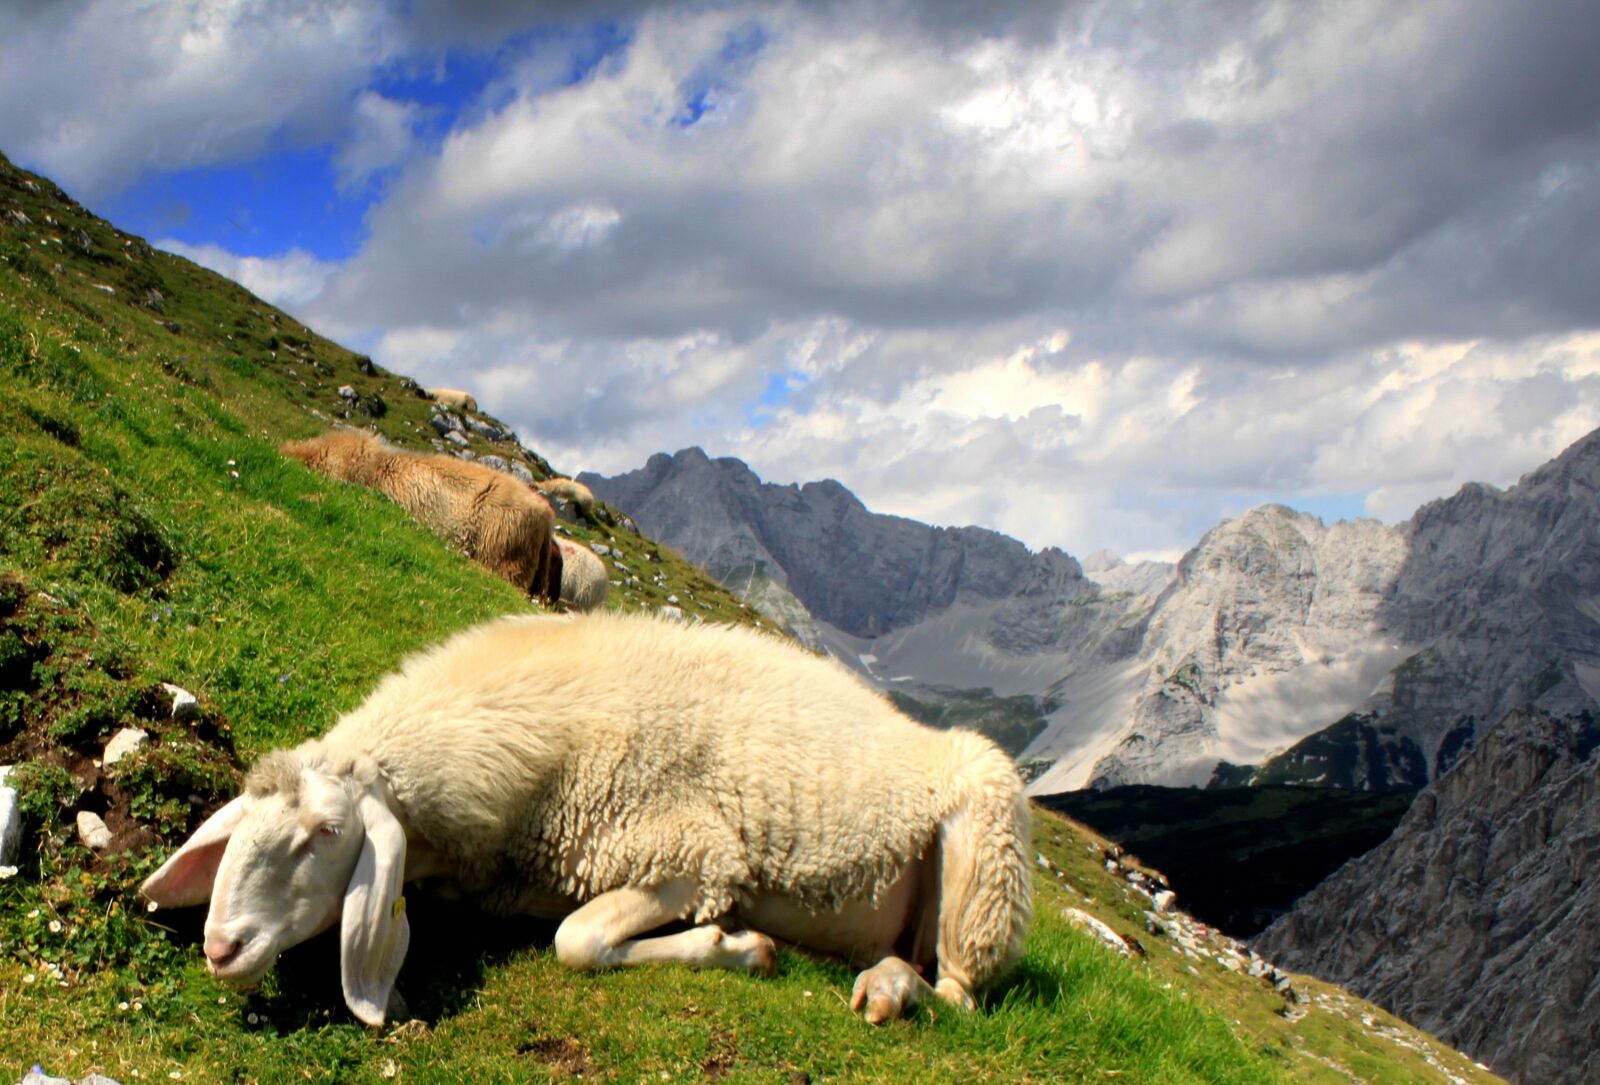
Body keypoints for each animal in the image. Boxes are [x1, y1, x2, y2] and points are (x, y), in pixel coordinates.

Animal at [140, 612, 1033, 1028]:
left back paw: (890, 990)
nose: (221, 947)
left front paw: (736, 945)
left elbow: (577, 941)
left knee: (959, 993)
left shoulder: (689, 857)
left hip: (986, 859)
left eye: (326, 831)